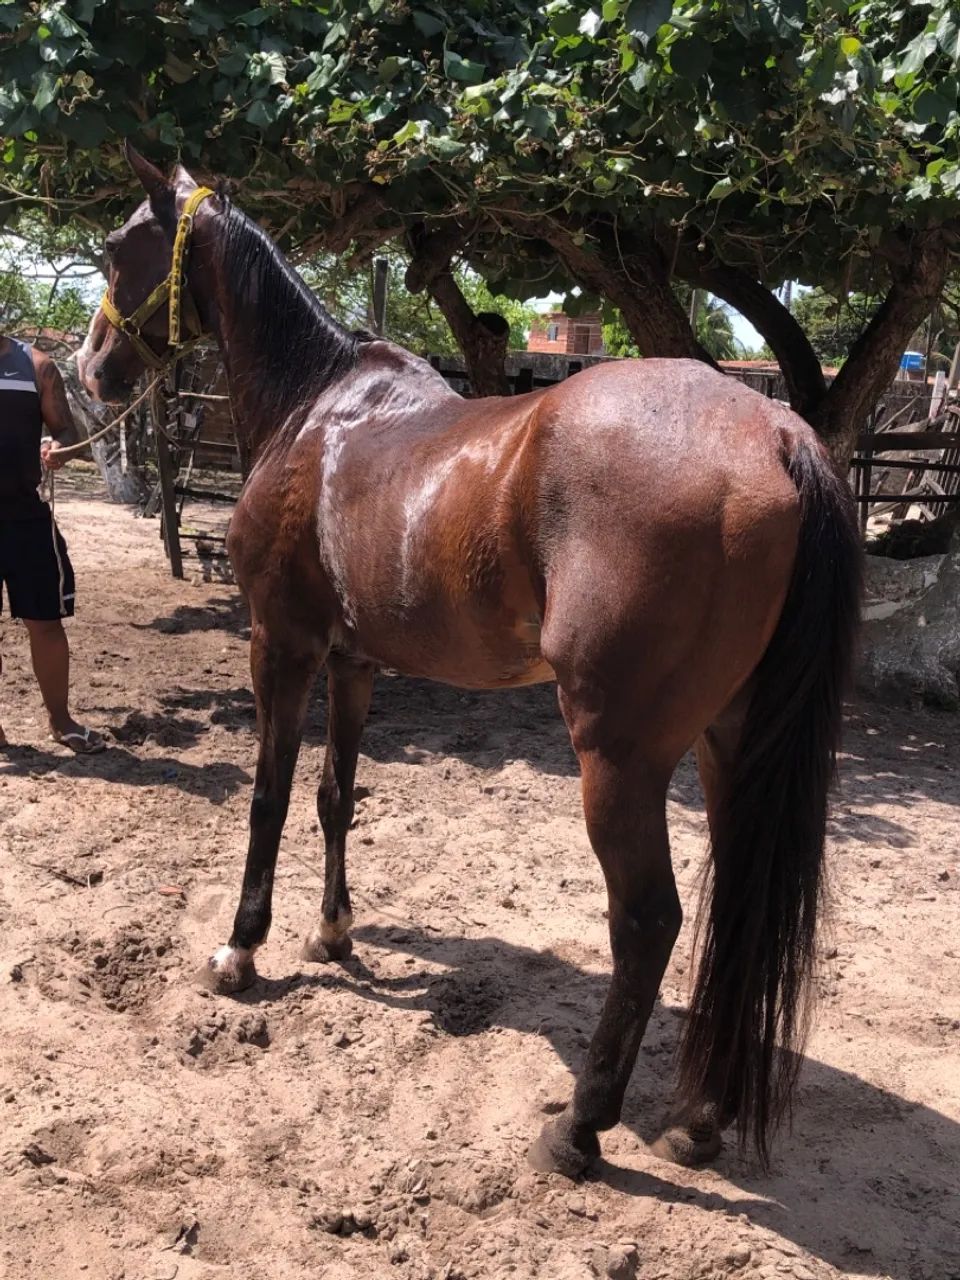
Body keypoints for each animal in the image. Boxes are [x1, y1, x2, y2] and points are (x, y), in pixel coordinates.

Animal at [79, 144, 861, 1178]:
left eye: (119, 246)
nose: (91, 366)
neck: (314, 410)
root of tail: (777, 434)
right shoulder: (354, 663)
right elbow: (335, 797)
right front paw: (333, 933)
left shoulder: (280, 645)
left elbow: (270, 797)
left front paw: (242, 952)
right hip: (731, 741)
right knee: (732, 904)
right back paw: (697, 1118)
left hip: (620, 756)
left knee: (648, 921)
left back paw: (580, 1127)